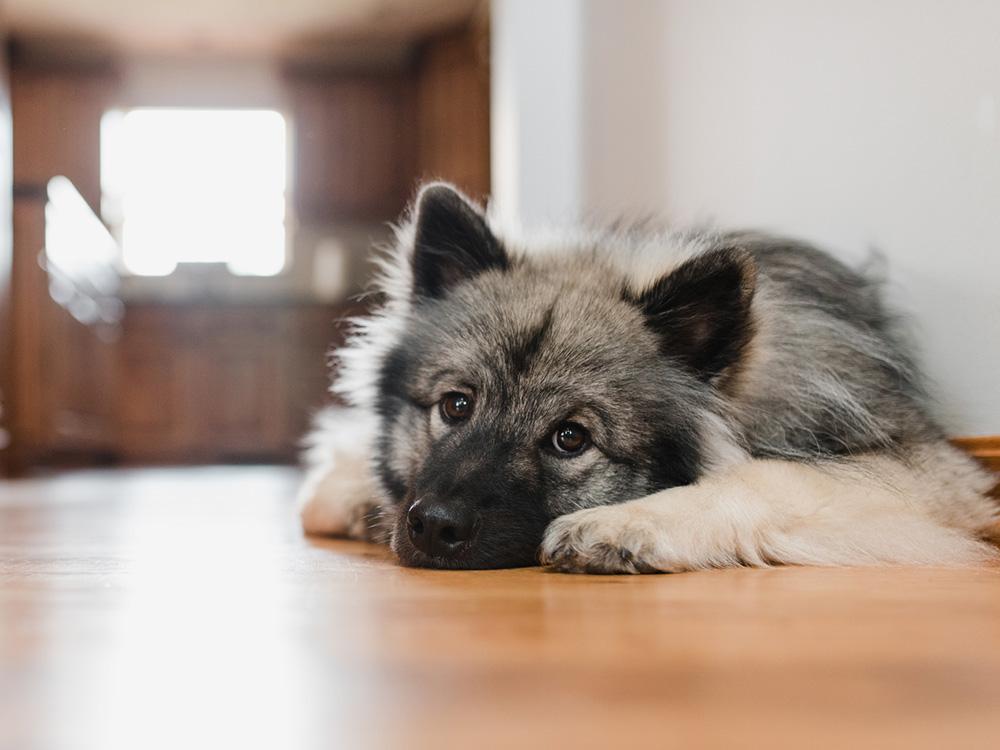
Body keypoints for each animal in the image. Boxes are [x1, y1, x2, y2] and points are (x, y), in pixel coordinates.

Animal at [298, 184, 1000, 576]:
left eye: (571, 438)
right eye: (456, 405)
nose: (434, 526)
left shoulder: (931, 476)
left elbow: (766, 477)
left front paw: (626, 524)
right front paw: (355, 495)